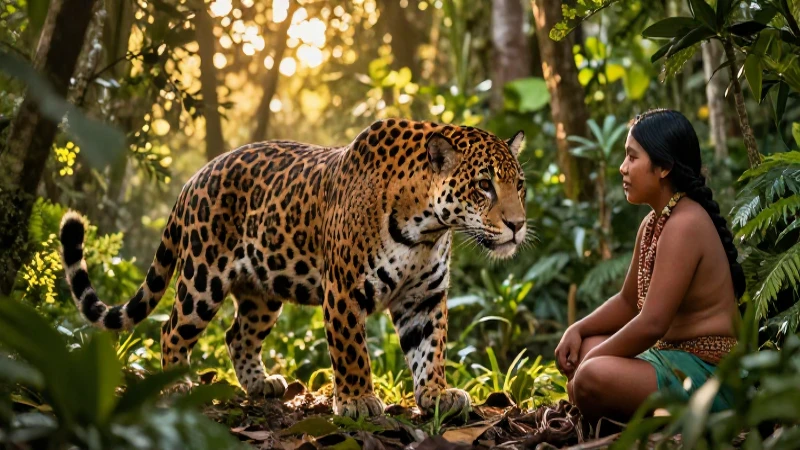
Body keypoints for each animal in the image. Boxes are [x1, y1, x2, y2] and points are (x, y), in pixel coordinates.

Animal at [59, 118, 529, 419]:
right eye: (484, 186)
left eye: (519, 185)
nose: (518, 224)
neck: (428, 227)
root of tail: (193, 179)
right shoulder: (344, 291)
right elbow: (352, 352)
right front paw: (358, 402)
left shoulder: (424, 297)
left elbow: (430, 349)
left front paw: (435, 395)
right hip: (202, 278)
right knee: (171, 329)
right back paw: (175, 384)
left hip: (262, 290)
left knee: (237, 335)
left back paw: (260, 384)